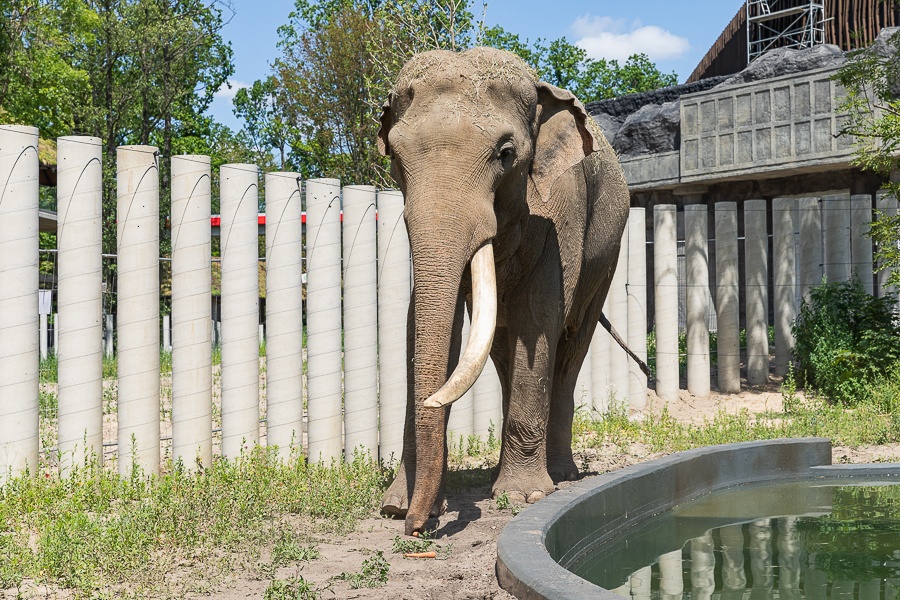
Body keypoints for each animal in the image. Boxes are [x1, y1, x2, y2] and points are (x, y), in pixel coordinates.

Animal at [376, 45, 628, 536]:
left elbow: (540, 317)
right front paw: (395, 504)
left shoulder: (558, 211)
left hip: (607, 257)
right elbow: (430, 327)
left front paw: (525, 496)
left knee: (571, 345)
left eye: (506, 153)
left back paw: (560, 475)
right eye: (394, 154)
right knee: (500, 347)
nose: (417, 528)